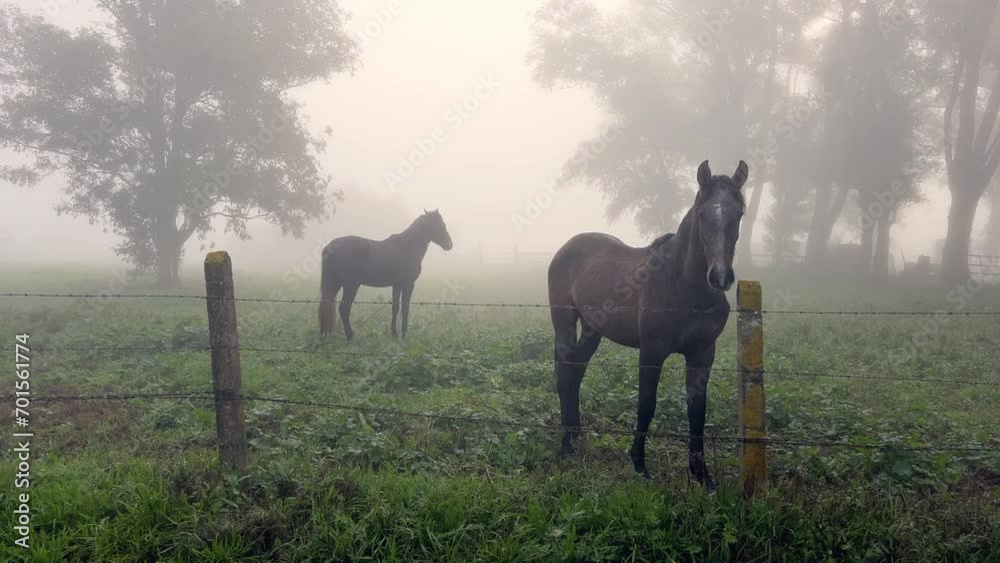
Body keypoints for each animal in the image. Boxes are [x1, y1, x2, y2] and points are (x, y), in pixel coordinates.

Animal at [319, 209, 453, 341]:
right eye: (442, 225)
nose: (449, 245)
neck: (407, 247)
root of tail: (330, 246)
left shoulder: (397, 285)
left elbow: (395, 308)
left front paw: (394, 334)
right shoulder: (408, 284)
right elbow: (405, 309)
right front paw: (403, 335)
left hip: (336, 284)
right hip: (351, 286)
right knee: (344, 310)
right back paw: (350, 336)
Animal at [547, 159, 748, 490]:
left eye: (740, 212)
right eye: (702, 213)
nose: (720, 277)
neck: (682, 287)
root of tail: (567, 247)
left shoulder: (703, 354)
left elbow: (697, 411)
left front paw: (702, 475)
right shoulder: (652, 352)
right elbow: (646, 404)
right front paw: (639, 464)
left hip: (592, 329)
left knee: (576, 371)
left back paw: (575, 434)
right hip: (563, 320)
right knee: (565, 372)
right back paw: (565, 445)